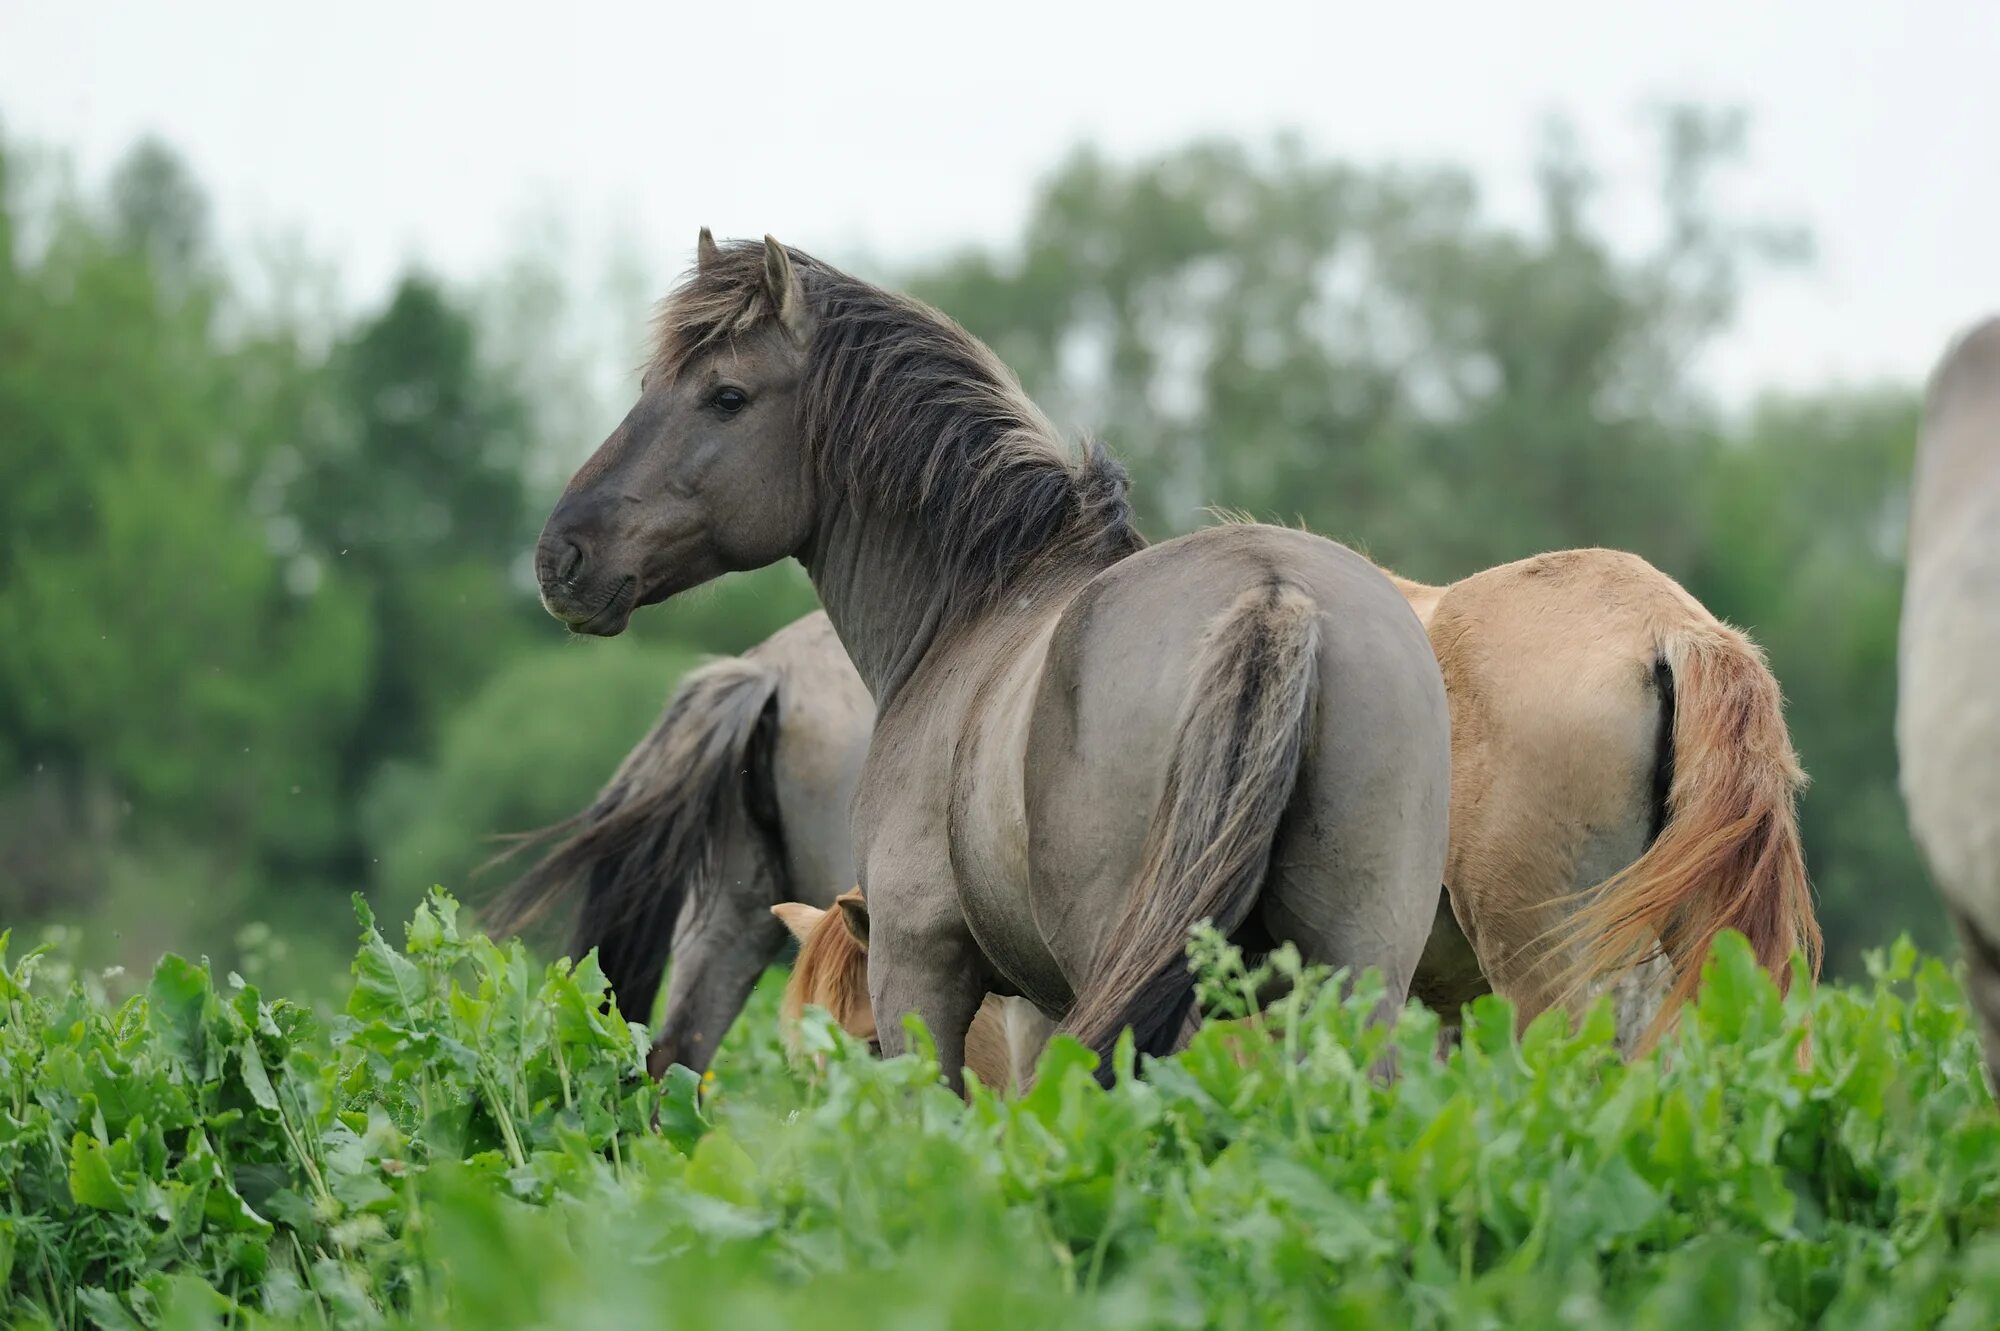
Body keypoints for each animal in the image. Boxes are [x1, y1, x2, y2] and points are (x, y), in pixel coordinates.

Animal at [532, 232, 1456, 1087]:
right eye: (647, 387)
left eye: (726, 396)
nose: (561, 556)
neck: (981, 601)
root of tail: (1274, 591)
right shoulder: (1039, 1001)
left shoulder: (916, 966)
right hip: (1355, 968)